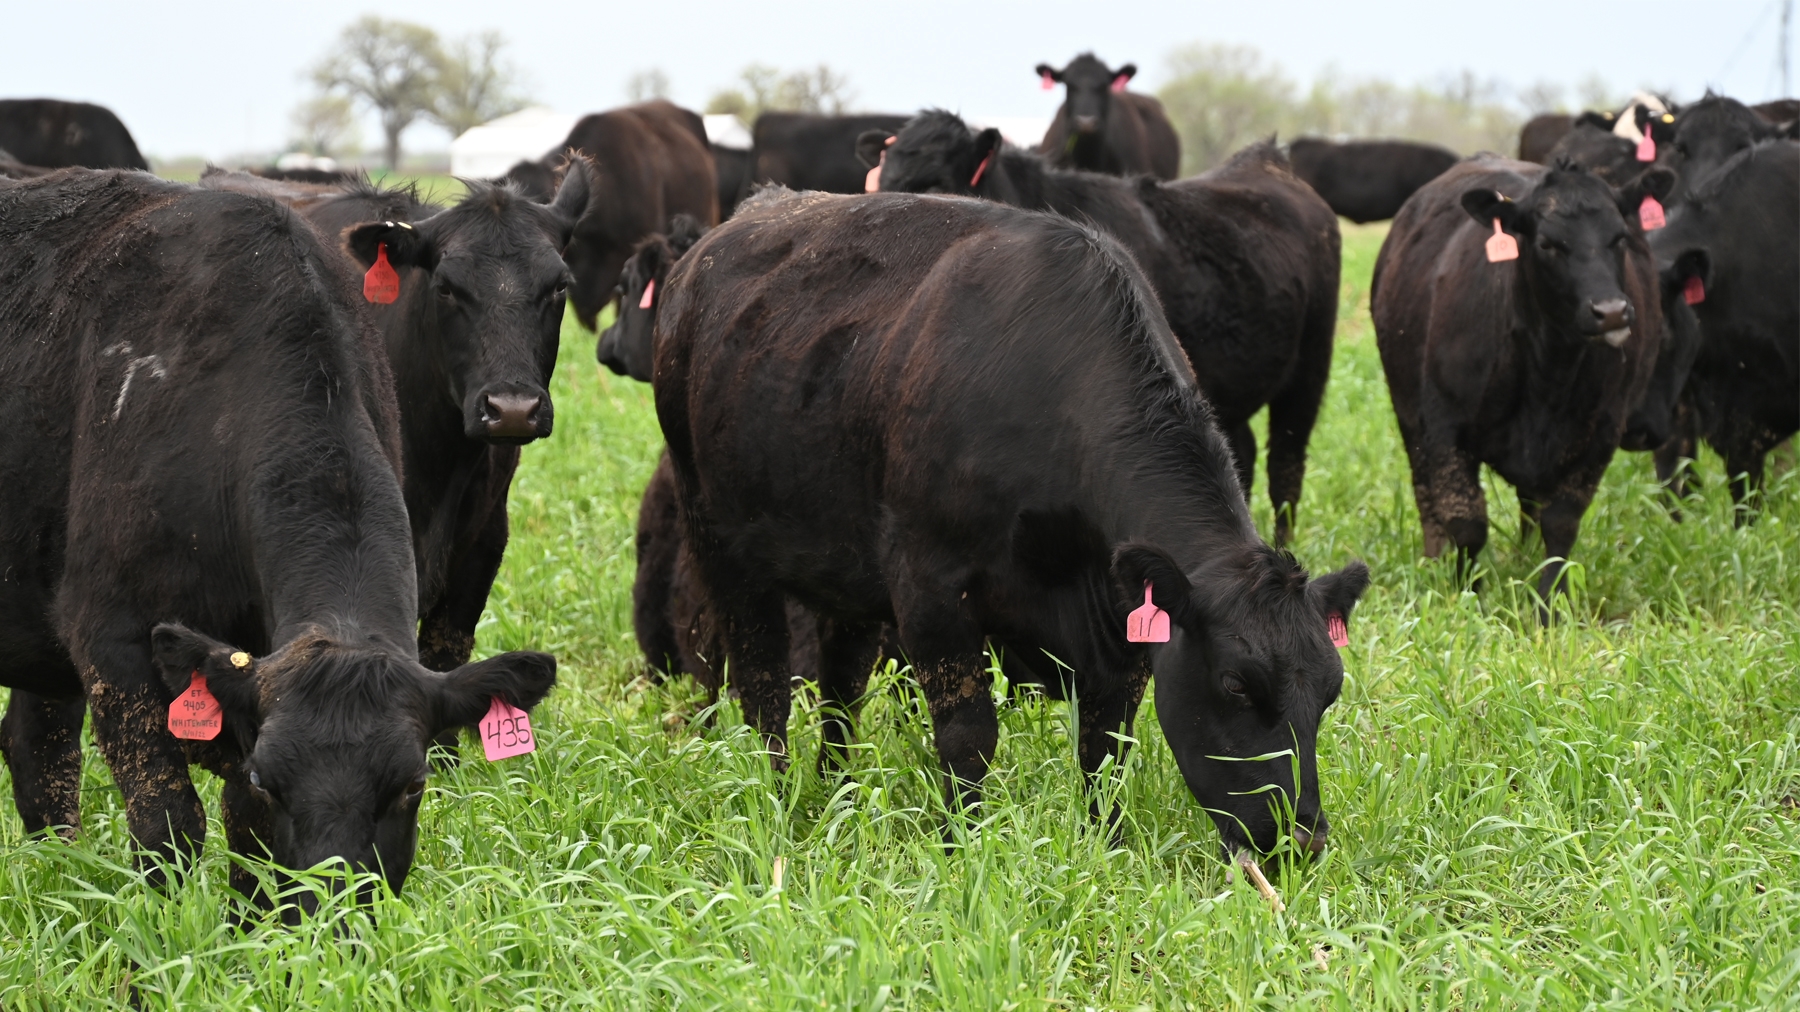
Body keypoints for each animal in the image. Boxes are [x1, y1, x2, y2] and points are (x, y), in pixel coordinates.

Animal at [0, 169, 554, 910]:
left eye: (413, 785)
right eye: (447, 289)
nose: (334, 914)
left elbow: (247, 839)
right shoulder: (110, 639)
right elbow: (168, 823)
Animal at [654, 186, 1370, 854]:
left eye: (1330, 690)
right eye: (1235, 684)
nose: (1303, 839)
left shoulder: (1123, 623)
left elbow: (1106, 745)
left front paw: (1104, 844)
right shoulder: (930, 589)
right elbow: (968, 737)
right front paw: (961, 845)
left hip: (842, 564)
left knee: (840, 687)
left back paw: (839, 796)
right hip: (722, 544)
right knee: (764, 688)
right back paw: (776, 802)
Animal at [1372, 156, 1675, 612]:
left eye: (1619, 237)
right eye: (1548, 244)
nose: (1611, 311)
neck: (1548, 371)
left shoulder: (1600, 433)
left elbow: (1561, 522)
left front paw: (1549, 604)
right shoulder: (1445, 427)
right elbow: (1467, 521)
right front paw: (1468, 594)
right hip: (1408, 412)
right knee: (1426, 493)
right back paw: (1434, 557)